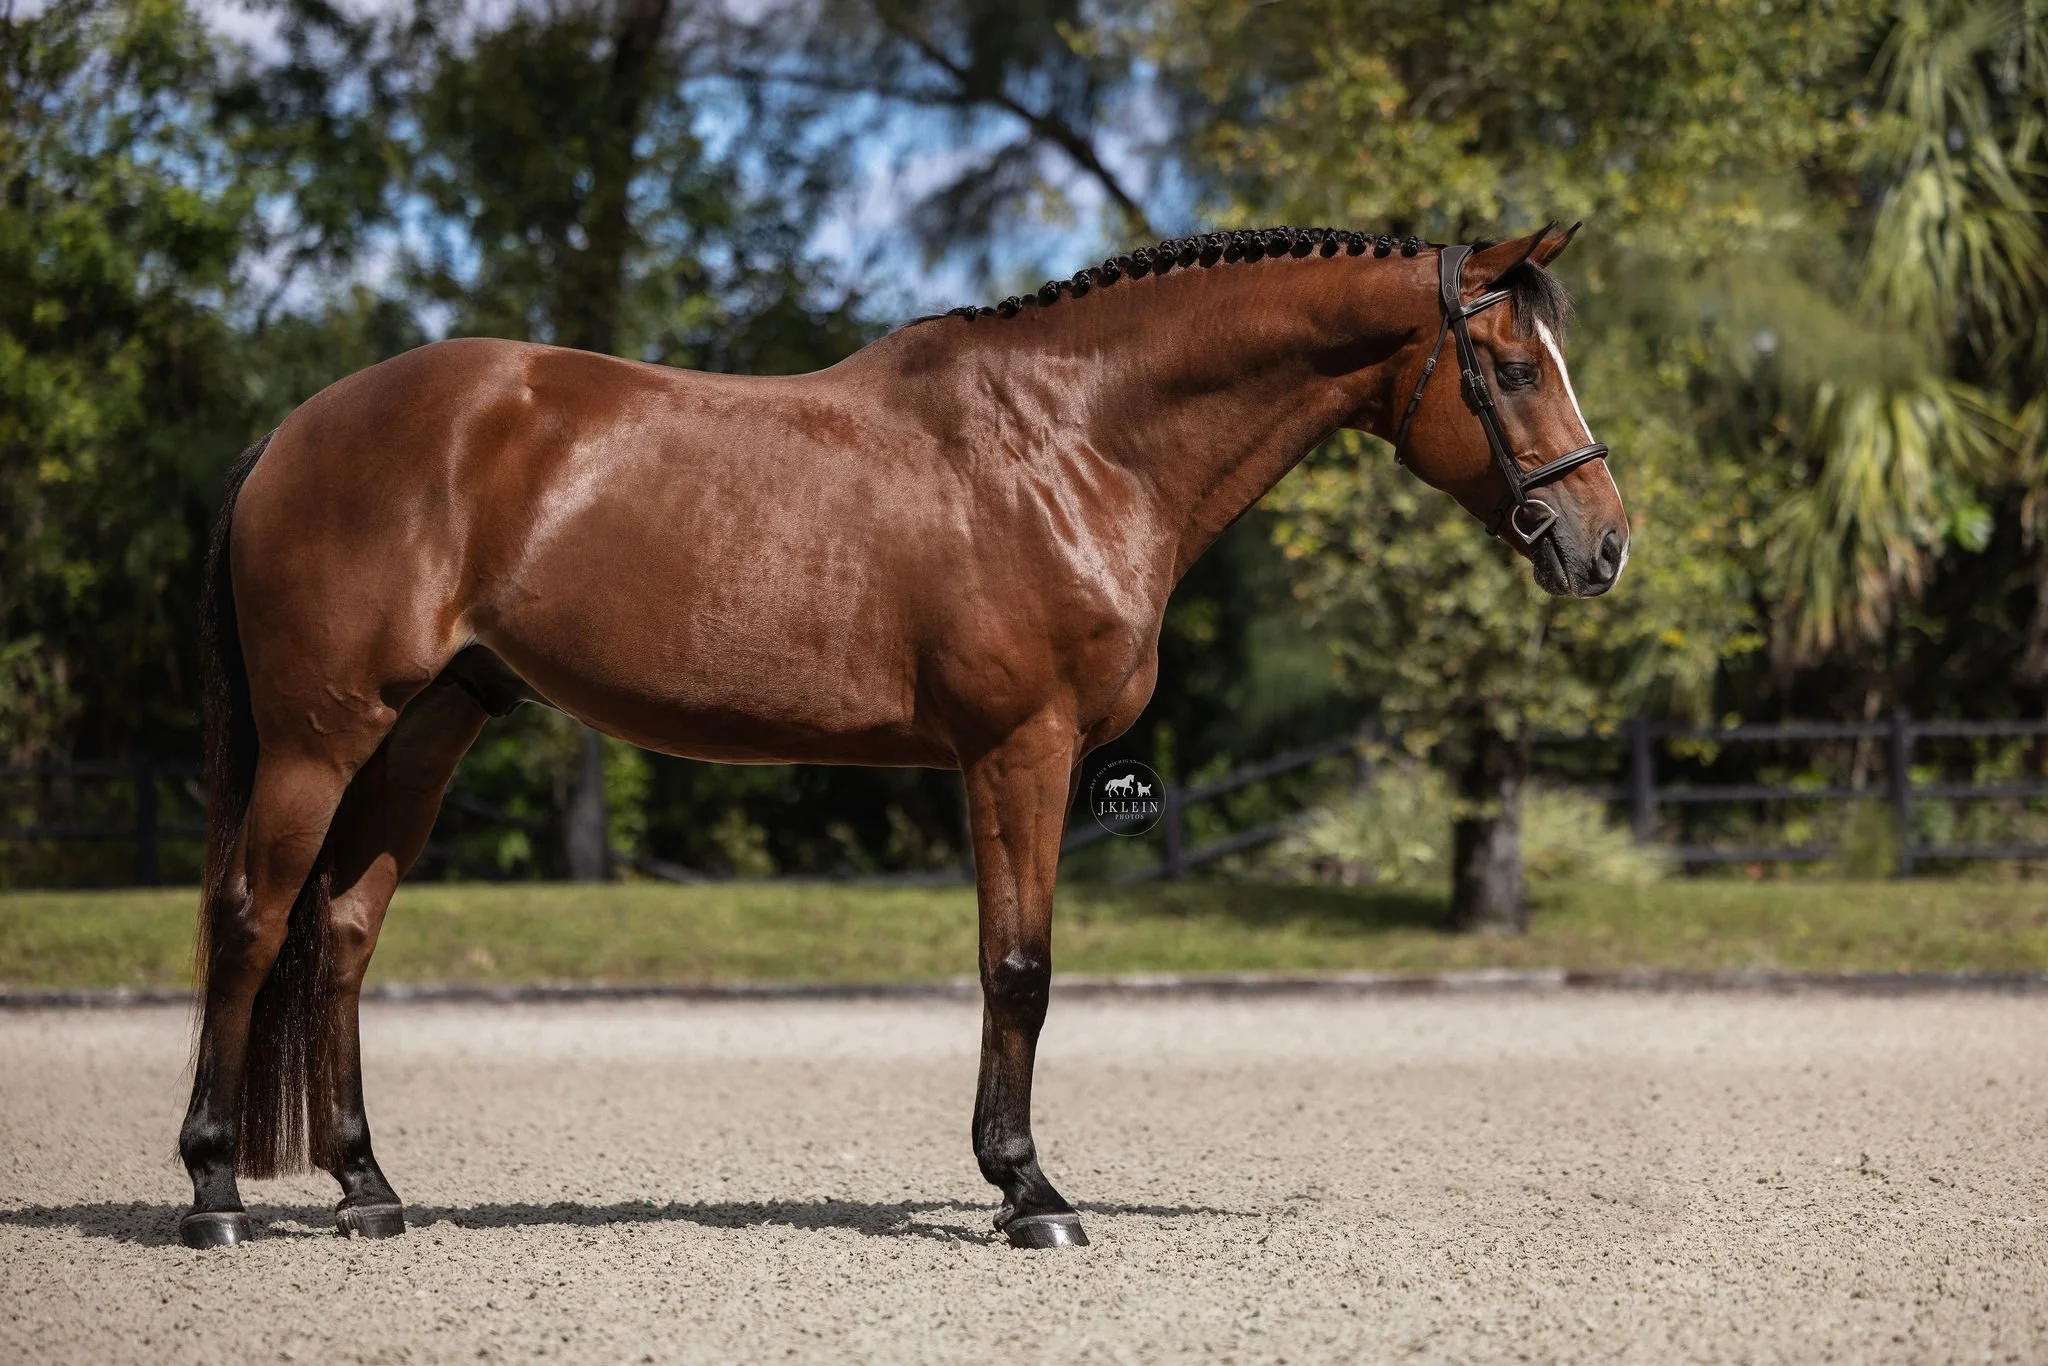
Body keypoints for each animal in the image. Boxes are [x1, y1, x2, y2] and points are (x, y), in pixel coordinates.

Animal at [177, 222, 1627, 1251]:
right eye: (1510, 371)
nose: (1602, 544)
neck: (1073, 443)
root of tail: (293, 429)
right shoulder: (1019, 751)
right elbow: (1018, 970)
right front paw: (1031, 1190)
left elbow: (1011, 970)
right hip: (323, 735)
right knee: (251, 919)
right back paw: (213, 1192)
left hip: (427, 728)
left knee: (341, 931)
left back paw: (368, 1187)